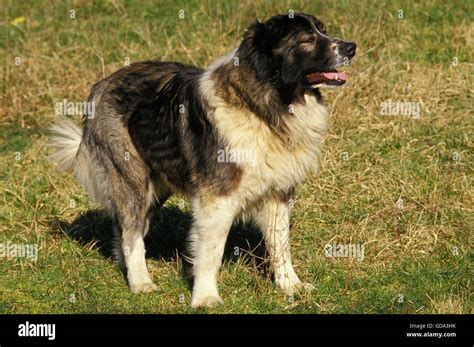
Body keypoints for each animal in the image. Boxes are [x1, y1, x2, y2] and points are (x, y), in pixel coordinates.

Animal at [51, 12, 356, 308]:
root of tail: (102, 84)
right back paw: (141, 283)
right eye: (306, 39)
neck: (263, 107)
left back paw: (125, 268)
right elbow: (210, 253)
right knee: (131, 233)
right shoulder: (217, 199)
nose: (351, 47)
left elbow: (280, 244)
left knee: (124, 225)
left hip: (155, 186)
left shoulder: (278, 193)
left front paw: (290, 286)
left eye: (323, 30)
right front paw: (205, 298)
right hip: (133, 178)